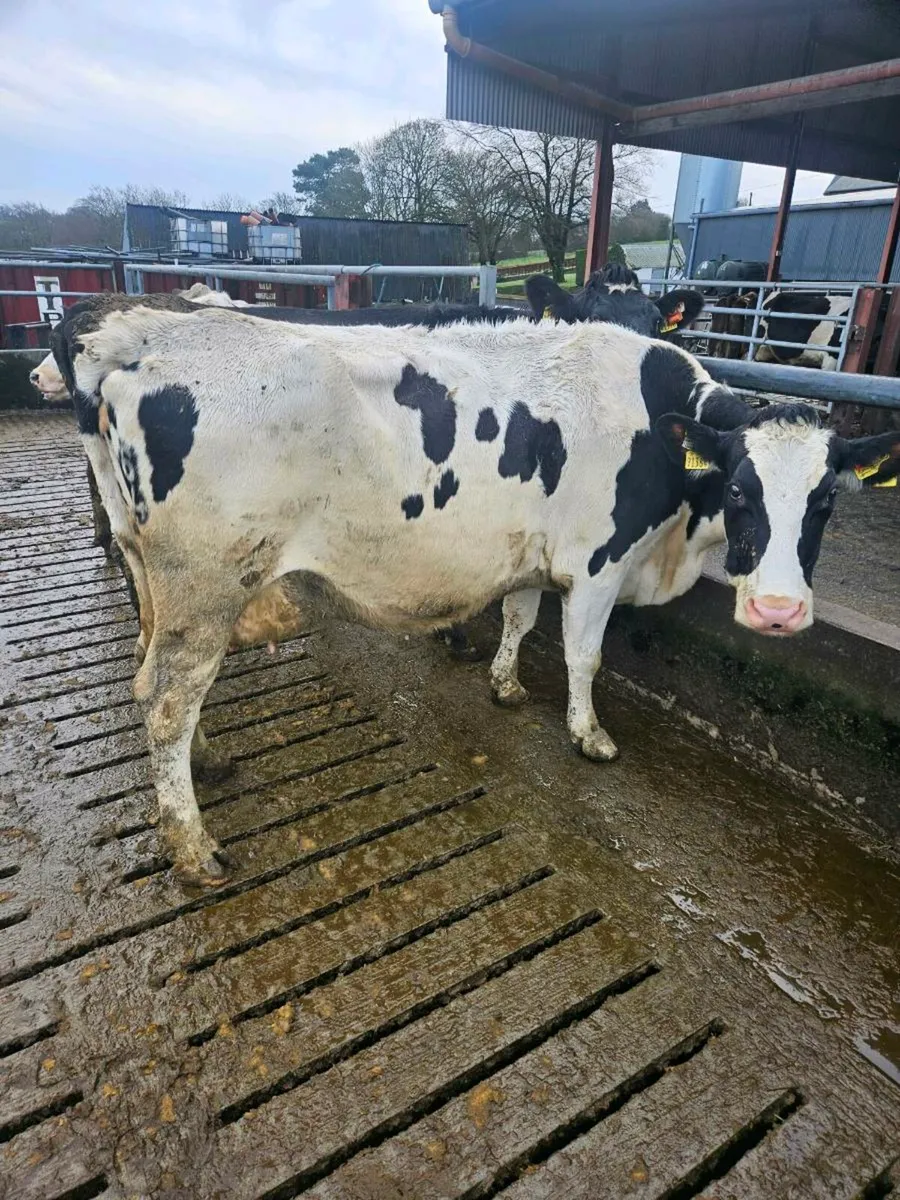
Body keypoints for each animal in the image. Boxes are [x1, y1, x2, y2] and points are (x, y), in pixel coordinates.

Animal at [50, 294, 900, 886]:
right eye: (742, 489)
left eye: (826, 500)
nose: (778, 611)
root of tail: (147, 335)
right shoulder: (598, 563)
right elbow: (585, 656)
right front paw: (589, 735)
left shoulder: (531, 555)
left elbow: (520, 619)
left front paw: (506, 686)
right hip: (206, 583)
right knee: (169, 699)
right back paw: (193, 846)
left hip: (152, 573)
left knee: (154, 677)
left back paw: (207, 765)